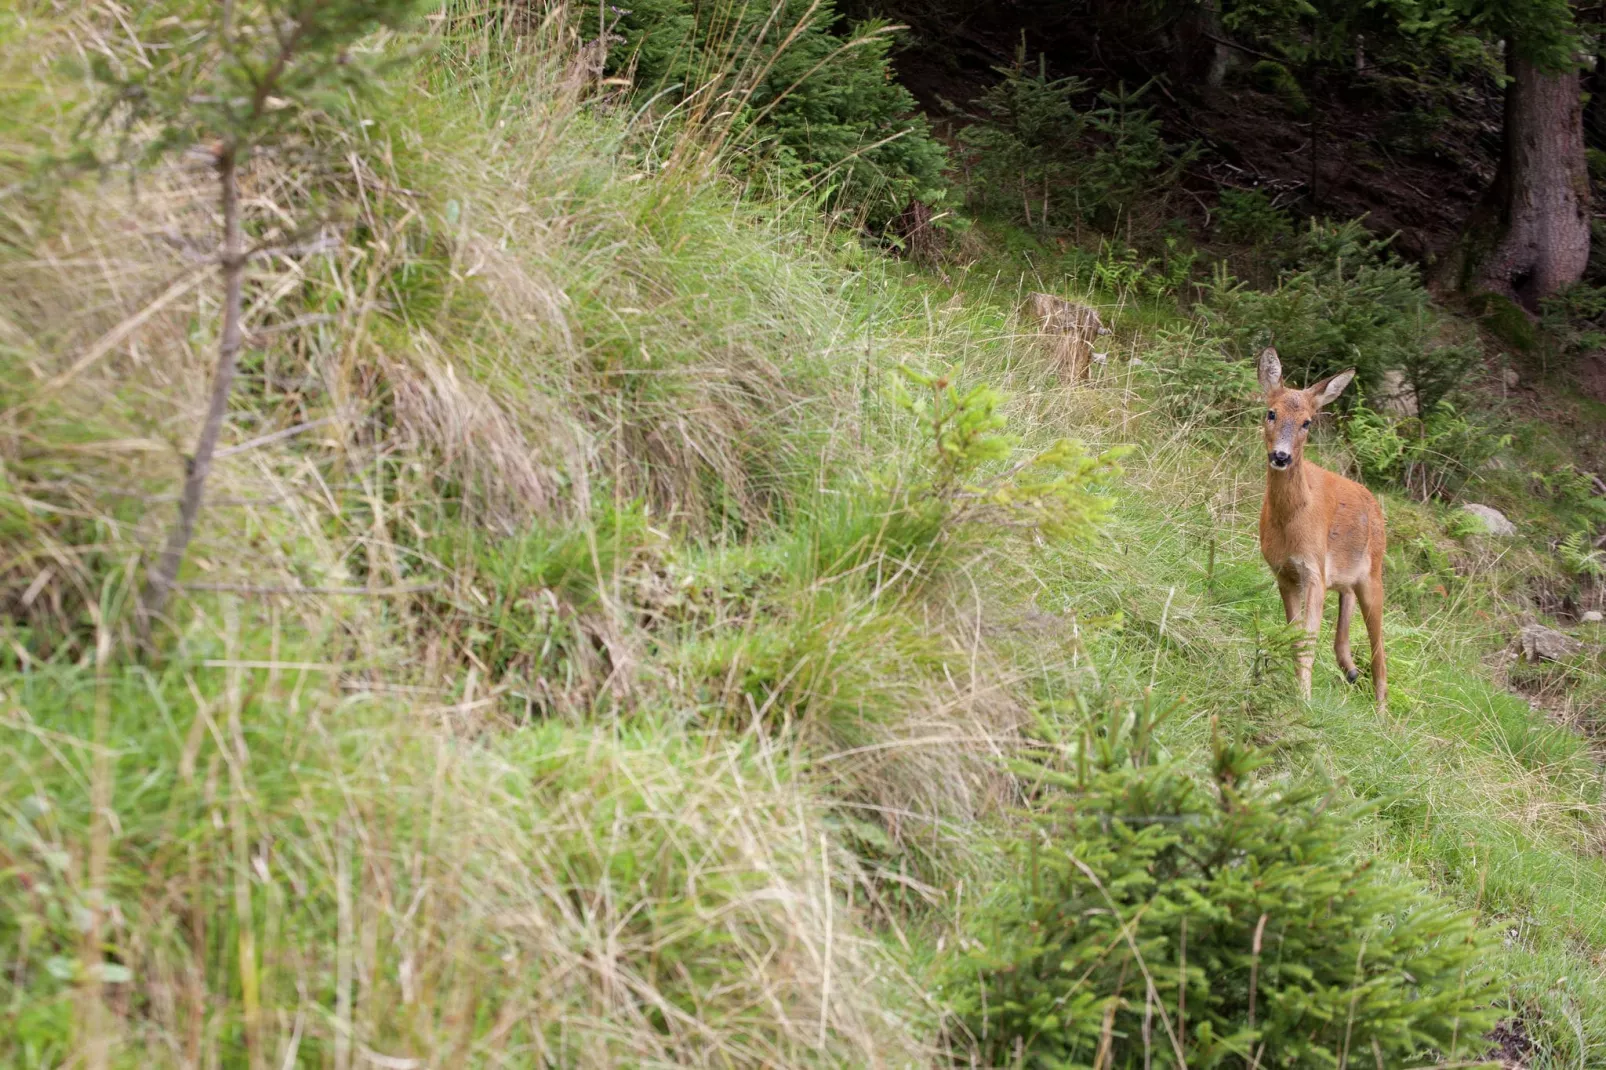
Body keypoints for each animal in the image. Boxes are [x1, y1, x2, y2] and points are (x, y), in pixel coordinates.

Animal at [1246, 345, 1387, 703]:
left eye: (1307, 422)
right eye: (1271, 413)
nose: (1281, 456)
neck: (1292, 521)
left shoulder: (1312, 571)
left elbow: (1308, 642)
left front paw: (1304, 699)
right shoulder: (1283, 573)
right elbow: (1295, 639)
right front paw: (1296, 691)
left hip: (1374, 574)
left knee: (1380, 654)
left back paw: (1381, 710)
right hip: (1342, 575)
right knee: (1347, 601)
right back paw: (1350, 669)